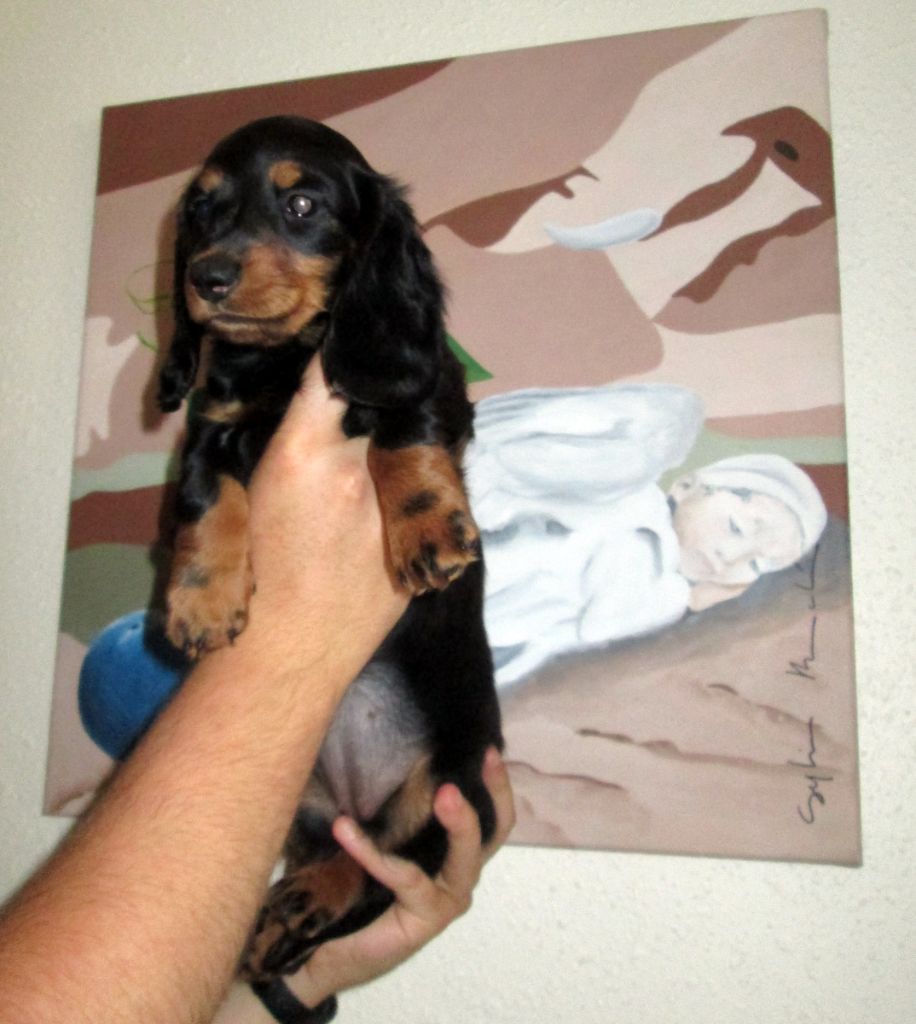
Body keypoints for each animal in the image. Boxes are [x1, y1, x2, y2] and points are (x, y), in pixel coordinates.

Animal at [156, 115, 502, 1021]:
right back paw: (285, 917)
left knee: (385, 868)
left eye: (302, 203)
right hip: (302, 811)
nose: (206, 277)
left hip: (451, 788)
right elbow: (207, 496)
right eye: (200, 212)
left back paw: (308, 904)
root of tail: (355, 801)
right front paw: (200, 603)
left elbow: (402, 430)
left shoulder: (426, 381)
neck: (284, 359)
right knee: (346, 856)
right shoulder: (214, 420)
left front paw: (424, 529)